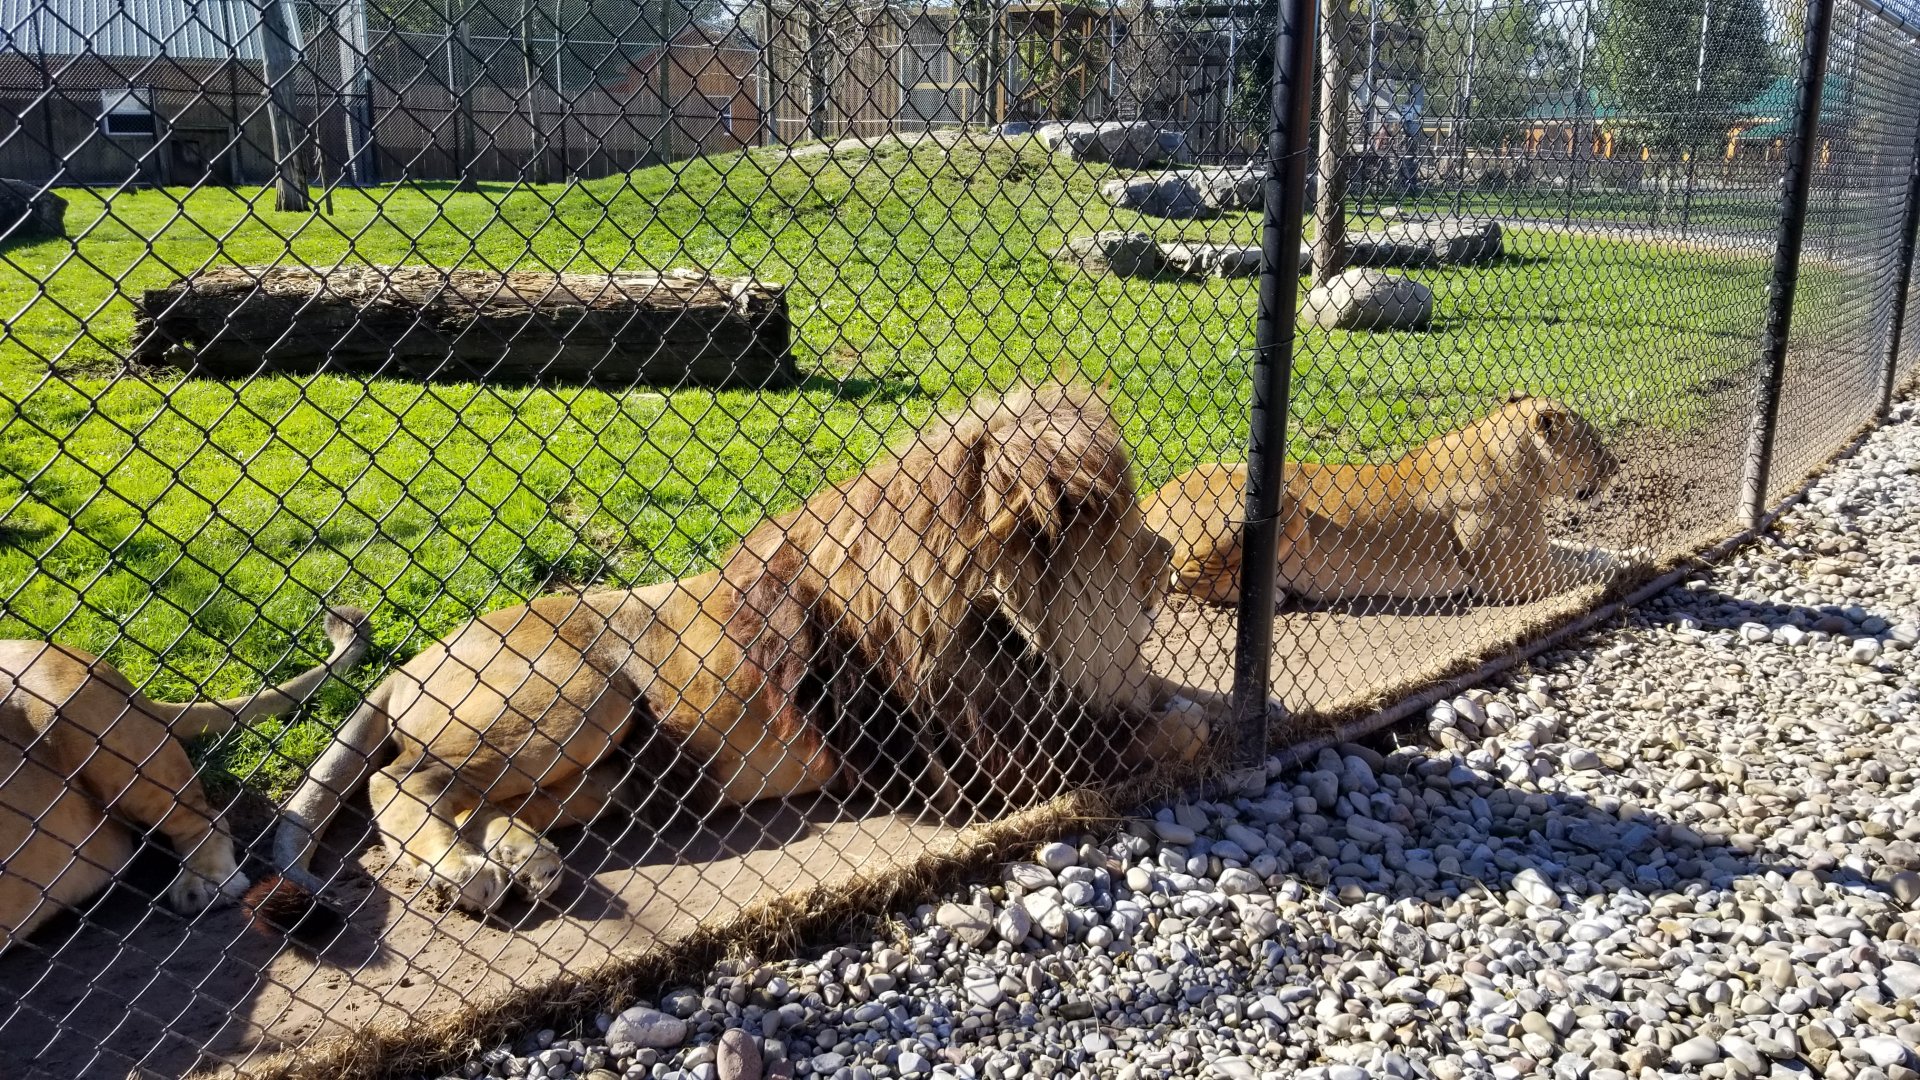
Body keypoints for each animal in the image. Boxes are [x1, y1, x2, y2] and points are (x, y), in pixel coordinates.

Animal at [268, 386, 1224, 917]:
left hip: (603, 763)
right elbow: (1170, 732)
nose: (1164, 553)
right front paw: (1186, 721)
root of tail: (410, 661)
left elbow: (1166, 707)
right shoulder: (984, 760)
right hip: (576, 698)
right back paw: (468, 875)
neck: (1001, 616)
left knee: (482, 802)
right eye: (1119, 522)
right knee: (405, 784)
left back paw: (525, 862)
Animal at [1143, 393, 1651, 608]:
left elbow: (1591, 551)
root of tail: (1151, 496)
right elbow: (1592, 569)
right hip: (1282, 500)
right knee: (1180, 574)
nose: (1617, 465)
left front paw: (1639, 548)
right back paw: (1275, 594)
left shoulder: (1539, 554)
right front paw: (1640, 561)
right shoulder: (1518, 579)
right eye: (1594, 442)